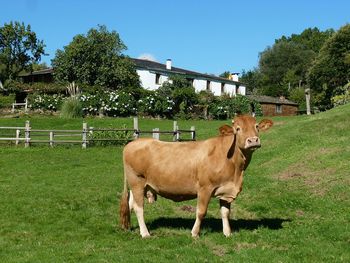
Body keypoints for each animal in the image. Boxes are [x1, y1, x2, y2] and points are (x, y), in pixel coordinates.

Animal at [119, 114, 272, 238]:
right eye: (238, 129)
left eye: (256, 126)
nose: (253, 140)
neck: (236, 169)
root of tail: (132, 143)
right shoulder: (205, 188)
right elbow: (201, 212)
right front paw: (195, 233)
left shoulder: (226, 189)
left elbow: (225, 212)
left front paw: (227, 233)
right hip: (137, 181)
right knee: (139, 207)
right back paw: (145, 233)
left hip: (139, 185)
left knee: (130, 204)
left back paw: (129, 228)